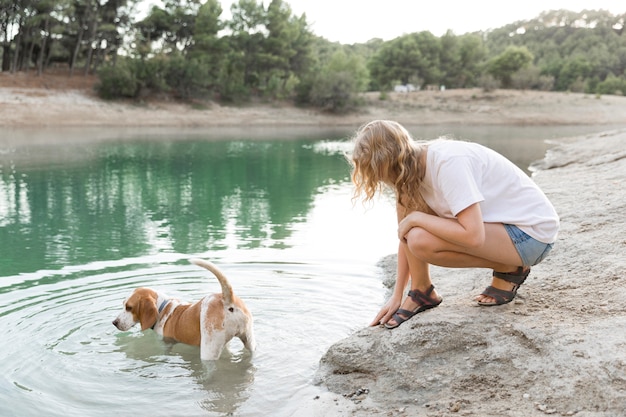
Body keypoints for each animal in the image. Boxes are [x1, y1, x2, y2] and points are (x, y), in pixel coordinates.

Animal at [111, 255, 254, 360]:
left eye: (129, 307)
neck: (162, 308)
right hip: (250, 341)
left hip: (208, 350)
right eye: (123, 304)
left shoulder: (164, 343)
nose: (114, 322)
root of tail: (226, 298)